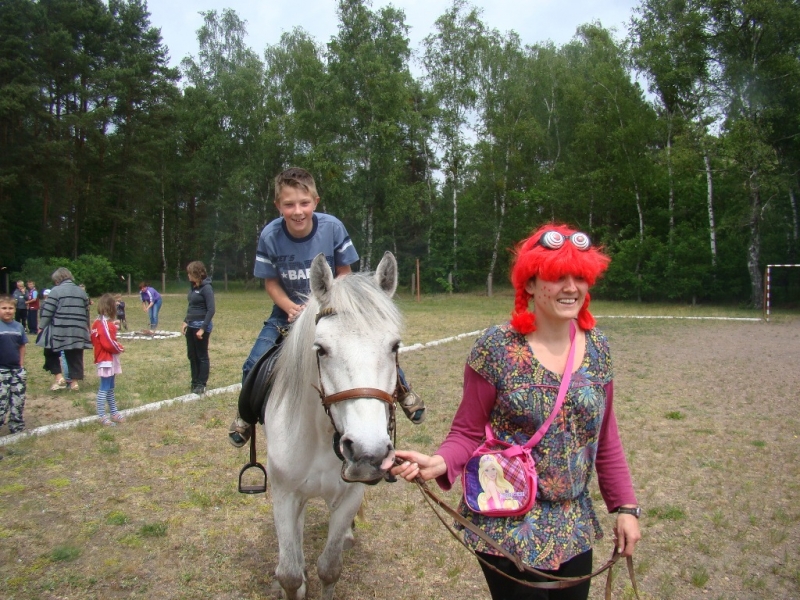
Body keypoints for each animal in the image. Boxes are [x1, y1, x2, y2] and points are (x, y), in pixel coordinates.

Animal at [262, 251, 400, 596]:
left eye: (395, 346)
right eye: (321, 349)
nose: (367, 452)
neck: (321, 438)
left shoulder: (349, 497)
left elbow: (329, 568)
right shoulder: (284, 495)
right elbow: (289, 573)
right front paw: (295, 582)